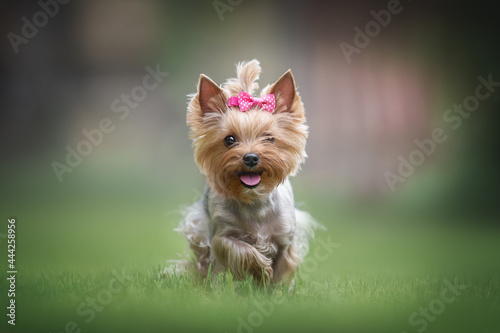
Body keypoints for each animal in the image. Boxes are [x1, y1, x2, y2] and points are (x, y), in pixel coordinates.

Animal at [178, 59, 320, 282]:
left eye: (269, 138)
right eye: (229, 139)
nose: (251, 157)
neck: (254, 200)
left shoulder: (286, 241)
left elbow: (282, 270)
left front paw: (275, 286)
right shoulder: (222, 236)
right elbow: (241, 250)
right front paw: (261, 268)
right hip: (199, 229)